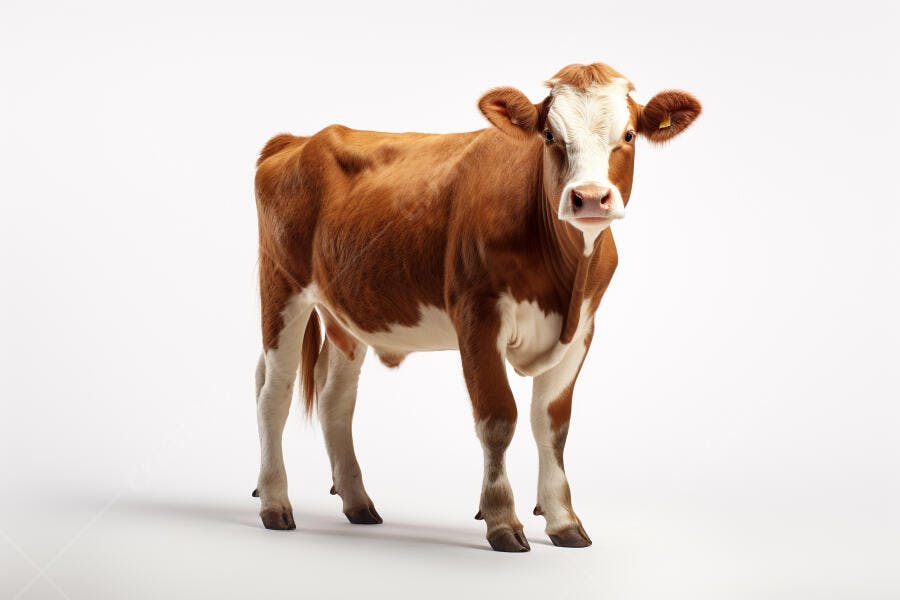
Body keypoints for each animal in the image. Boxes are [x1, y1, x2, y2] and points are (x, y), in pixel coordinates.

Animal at [251, 62, 701, 552]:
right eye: (549, 134)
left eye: (630, 134)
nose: (590, 197)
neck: (563, 276)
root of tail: (296, 140)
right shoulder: (477, 315)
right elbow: (498, 418)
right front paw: (502, 519)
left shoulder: (581, 329)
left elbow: (553, 426)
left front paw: (562, 520)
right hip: (282, 287)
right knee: (274, 392)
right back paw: (275, 503)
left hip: (347, 312)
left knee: (335, 398)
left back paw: (357, 503)